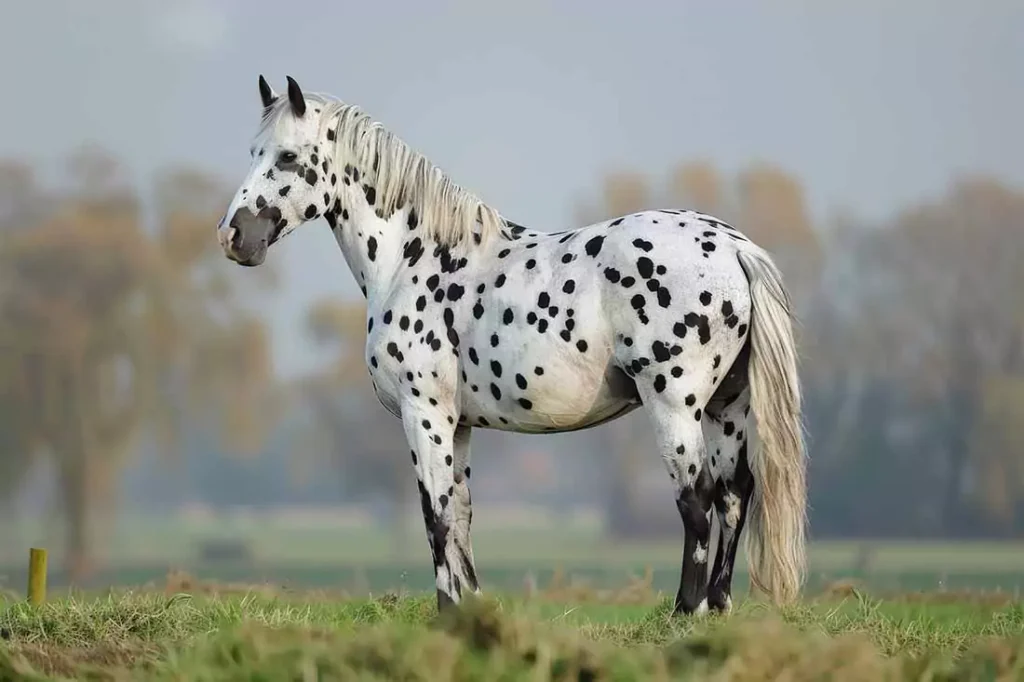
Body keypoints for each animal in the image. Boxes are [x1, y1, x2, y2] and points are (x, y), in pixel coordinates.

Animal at [216, 75, 806, 614]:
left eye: (288, 156)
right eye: (254, 152)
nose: (233, 237)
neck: (413, 257)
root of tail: (734, 248)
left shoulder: (422, 412)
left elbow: (435, 516)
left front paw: (448, 612)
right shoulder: (457, 424)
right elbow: (460, 514)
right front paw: (471, 609)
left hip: (675, 406)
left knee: (697, 499)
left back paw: (686, 610)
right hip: (726, 406)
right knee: (734, 493)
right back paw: (718, 607)